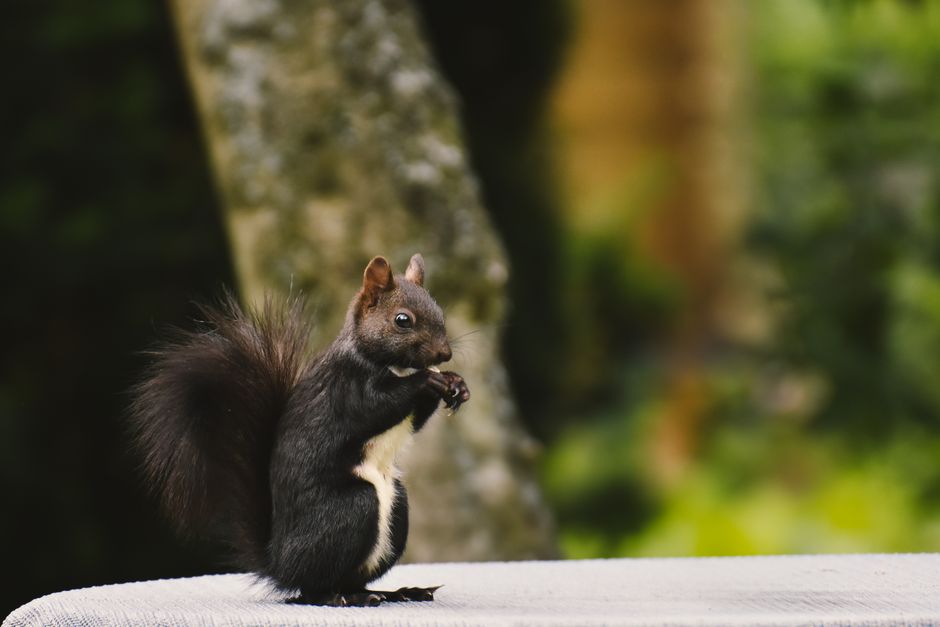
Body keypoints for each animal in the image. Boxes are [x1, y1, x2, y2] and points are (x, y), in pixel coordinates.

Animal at [129, 254, 470, 607]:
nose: (445, 354)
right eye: (402, 320)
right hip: (353, 509)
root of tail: (280, 563)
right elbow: (378, 406)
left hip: (397, 507)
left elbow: (415, 419)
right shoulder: (346, 390)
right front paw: (427, 380)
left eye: (439, 310)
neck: (391, 364)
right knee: (312, 588)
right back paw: (342, 597)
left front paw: (456, 384)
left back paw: (395, 592)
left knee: (351, 578)